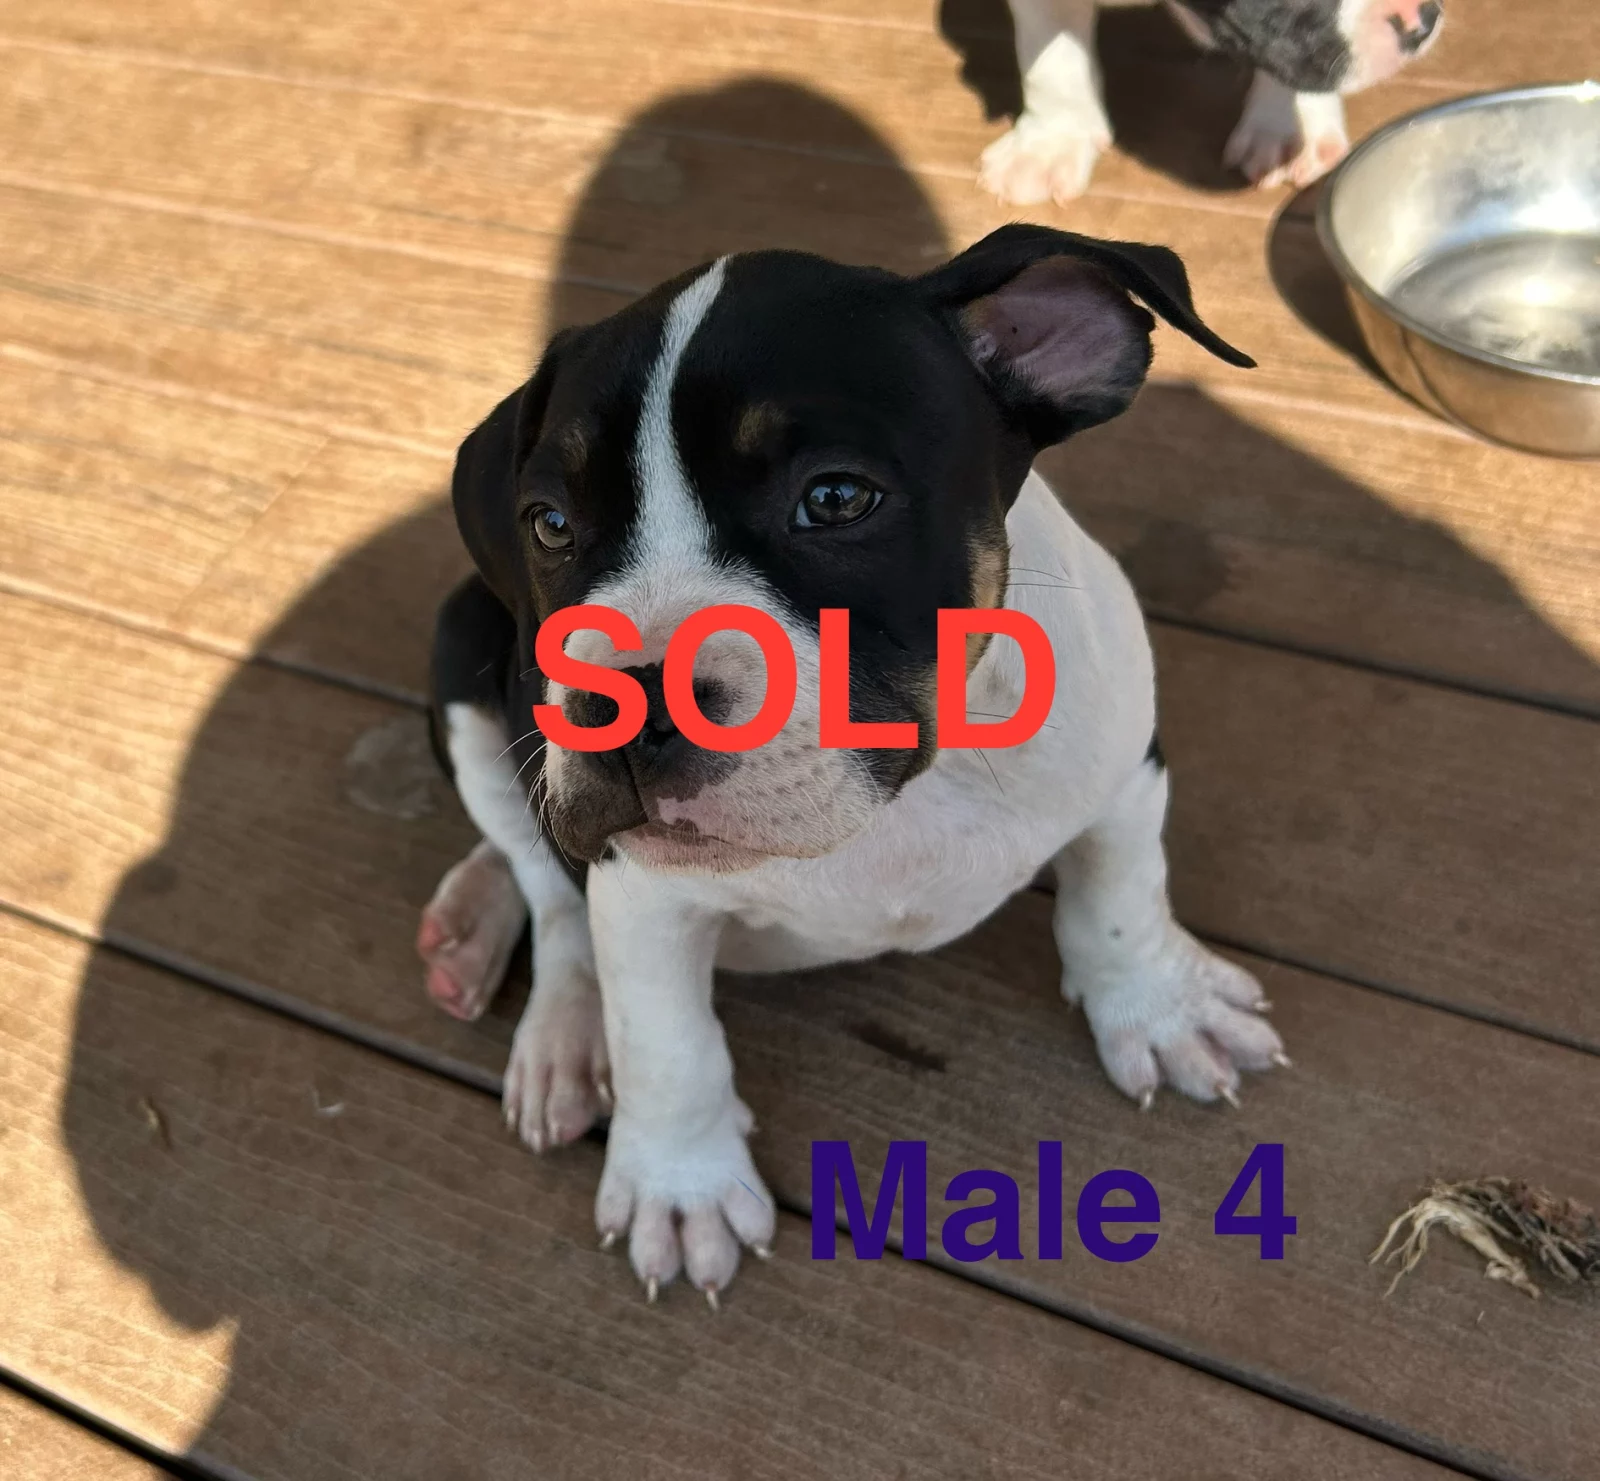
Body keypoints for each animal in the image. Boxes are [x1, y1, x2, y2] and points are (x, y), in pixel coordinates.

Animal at [417, 225, 1286, 1302]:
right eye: (548, 524)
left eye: (834, 499)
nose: (617, 702)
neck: (906, 795)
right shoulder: (643, 894)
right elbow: (665, 1037)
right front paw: (680, 1182)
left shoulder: (1123, 759)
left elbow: (1122, 891)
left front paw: (1161, 1009)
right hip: (465, 657)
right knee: (545, 882)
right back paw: (552, 1025)